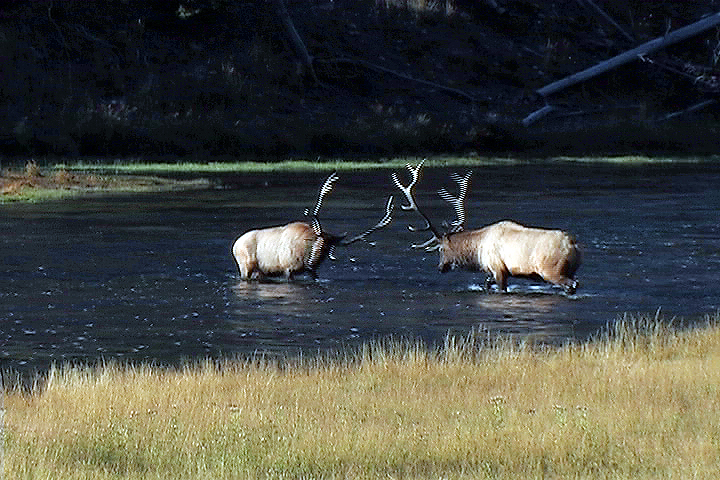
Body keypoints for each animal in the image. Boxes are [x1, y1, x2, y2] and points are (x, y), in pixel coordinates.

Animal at [232, 173, 394, 282]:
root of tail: (235, 245)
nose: (312, 261)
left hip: (259, 271)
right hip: (245, 266)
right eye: (317, 243)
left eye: (329, 247)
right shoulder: (287, 268)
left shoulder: (311, 270)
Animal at [390, 161, 584, 292]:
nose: (440, 268)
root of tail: (574, 245)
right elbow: (485, 285)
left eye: (441, 249)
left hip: (552, 270)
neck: (477, 250)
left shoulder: (498, 268)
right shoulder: (491, 272)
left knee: (572, 285)